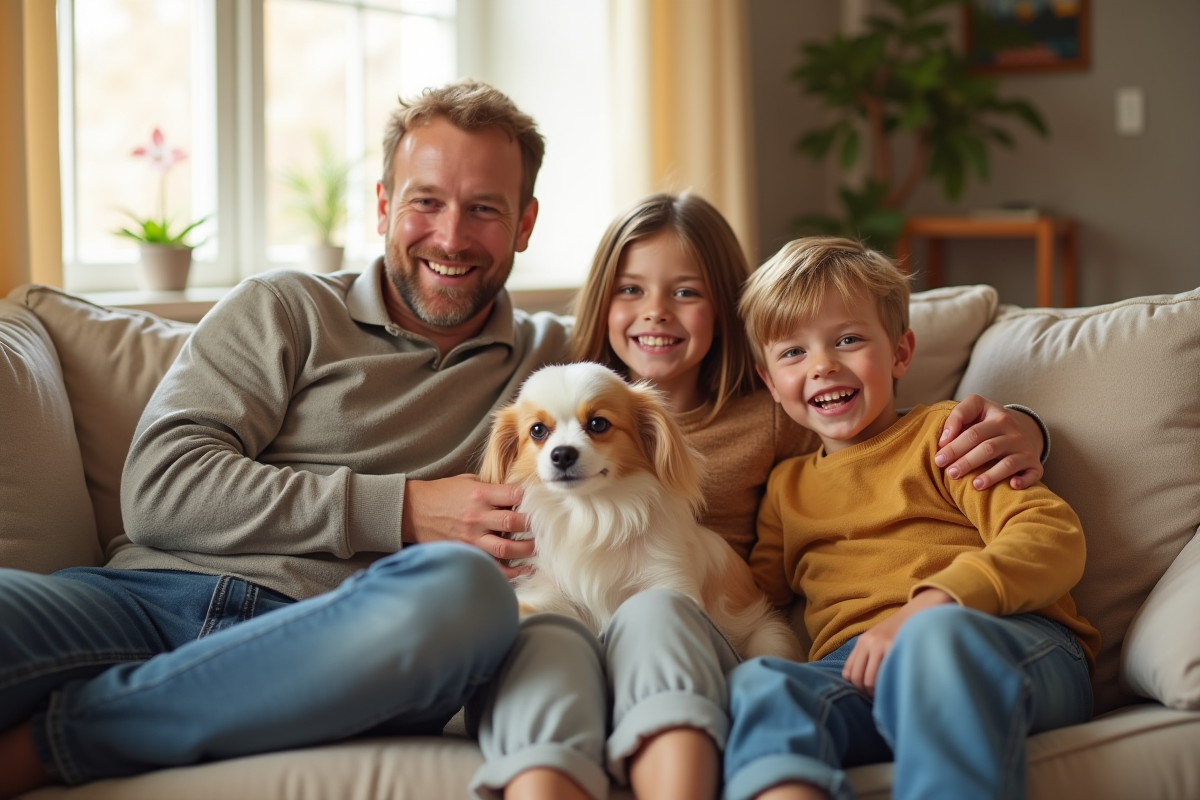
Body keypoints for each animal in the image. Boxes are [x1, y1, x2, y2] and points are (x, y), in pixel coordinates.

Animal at [475, 364, 796, 662]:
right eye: (538, 430)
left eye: (598, 424)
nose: (562, 453)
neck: (591, 514)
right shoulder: (546, 589)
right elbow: (536, 608)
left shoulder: (669, 580)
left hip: (769, 637)